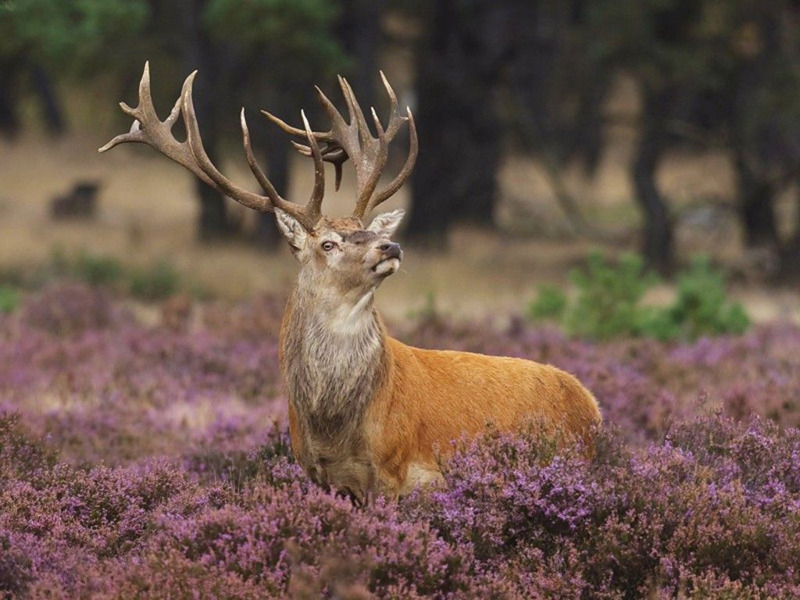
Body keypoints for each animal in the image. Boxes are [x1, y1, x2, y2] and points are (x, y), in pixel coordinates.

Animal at [100, 62, 600, 502]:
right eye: (328, 243)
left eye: (369, 230)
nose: (390, 246)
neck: (336, 427)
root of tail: (592, 405)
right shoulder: (321, 475)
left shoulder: (396, 471)